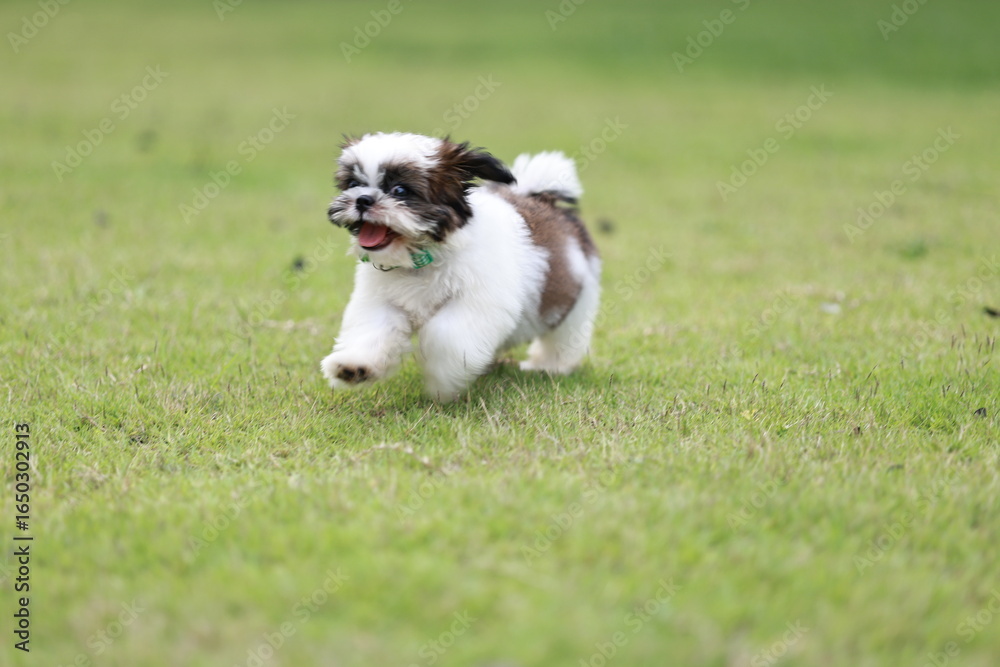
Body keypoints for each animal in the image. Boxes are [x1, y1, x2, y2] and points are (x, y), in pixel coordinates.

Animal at [321, 132, 601, 401]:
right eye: (353, 184)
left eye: (400, 190)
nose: (362, 199)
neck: (422, 259)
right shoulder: (381, 300)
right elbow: (373, 328)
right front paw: (353, 366)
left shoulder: (477, 303)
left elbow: (444, 336)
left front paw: (442, 383)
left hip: (574, 302)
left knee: (564, 337)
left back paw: (550, 365)